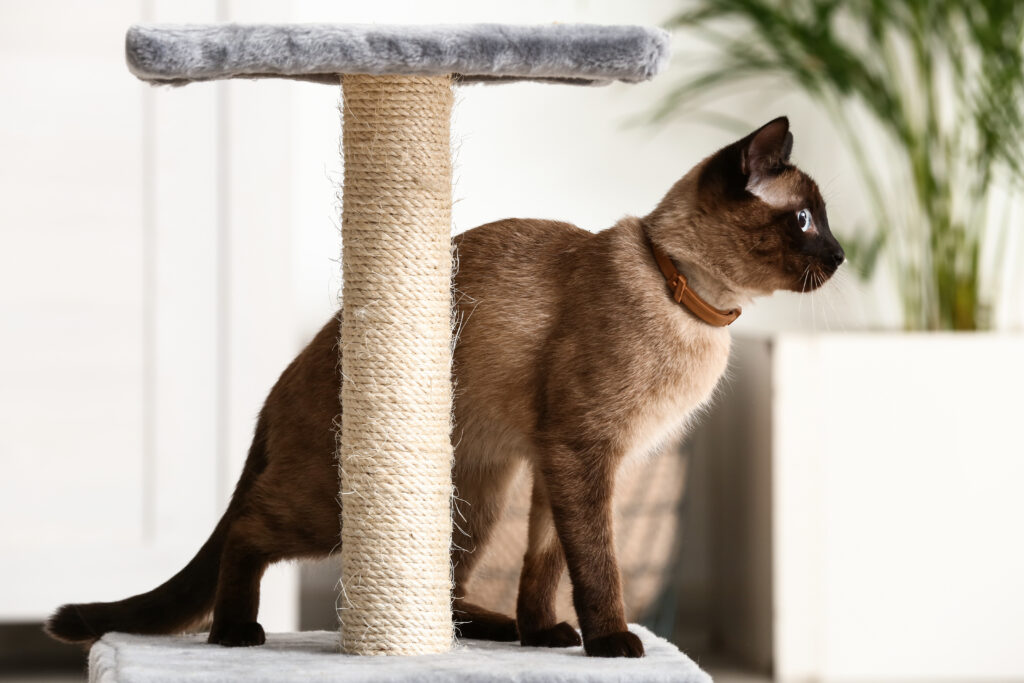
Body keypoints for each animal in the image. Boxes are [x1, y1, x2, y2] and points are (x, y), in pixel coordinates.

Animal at [48, 117, 843, 655]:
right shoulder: (582, 453)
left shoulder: (557, 465)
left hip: (472, 496)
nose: (840, 255)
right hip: (342, 502)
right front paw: (611, 641)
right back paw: (238, 632)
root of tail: (278, 386)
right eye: (805, 219)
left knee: (449, 589)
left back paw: (501, 632)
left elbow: (545, 566)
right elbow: (596, 565)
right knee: (247, 529)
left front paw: (547, 632)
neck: (688, 298)